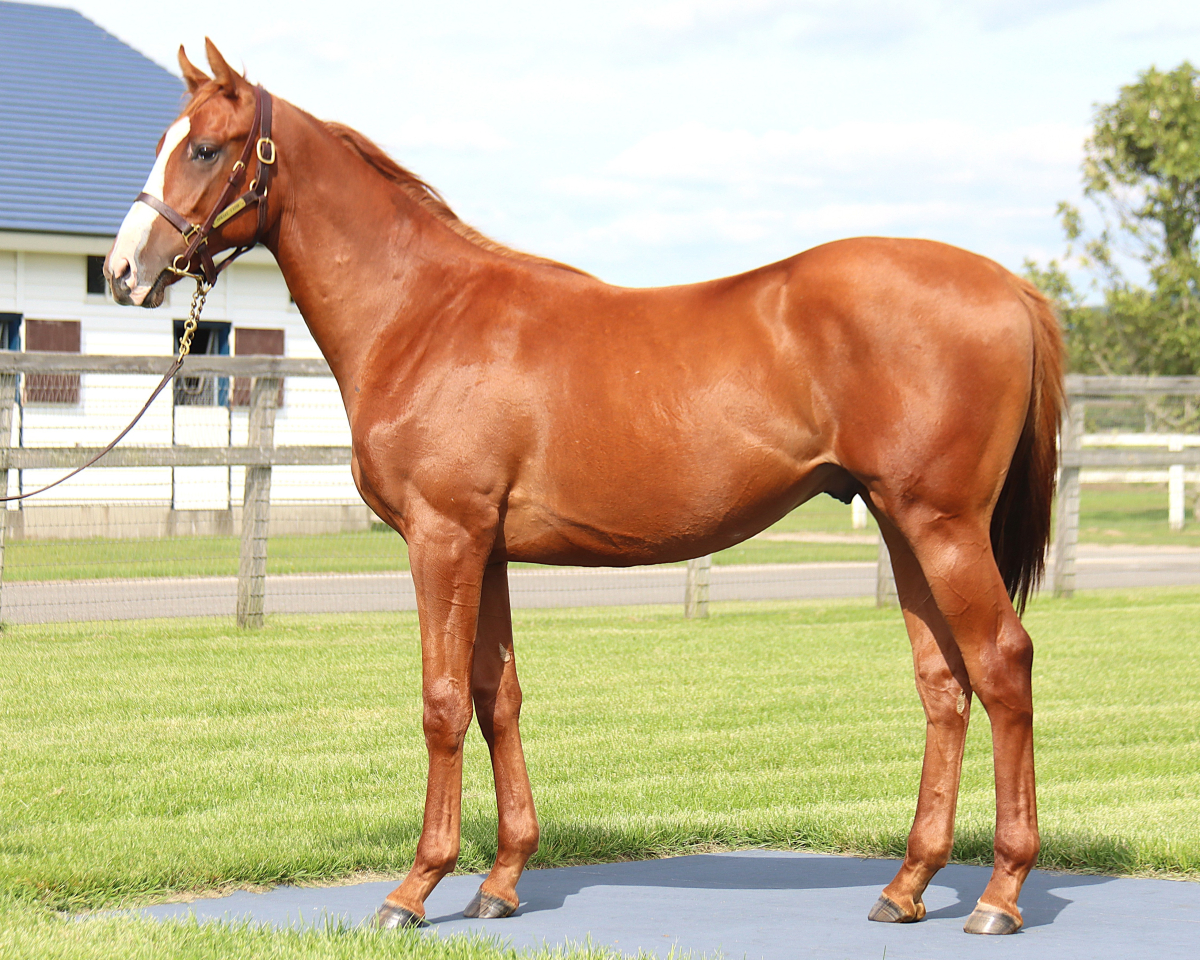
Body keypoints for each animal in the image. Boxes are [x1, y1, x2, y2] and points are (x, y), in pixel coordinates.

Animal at [105, 40, 1063, 936]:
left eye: (206, 148)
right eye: (159, 142)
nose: (123, 272)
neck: (425, 314)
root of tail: (1011, 287)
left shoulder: (443, 537)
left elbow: (442, 703)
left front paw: (415, 889)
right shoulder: (484, 548)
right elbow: (497, 698)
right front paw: (499, 883)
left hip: (942, 526)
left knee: (1002, 663)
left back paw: (1000, 893)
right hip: (904, 527)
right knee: (944, 685)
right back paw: (907, 887)